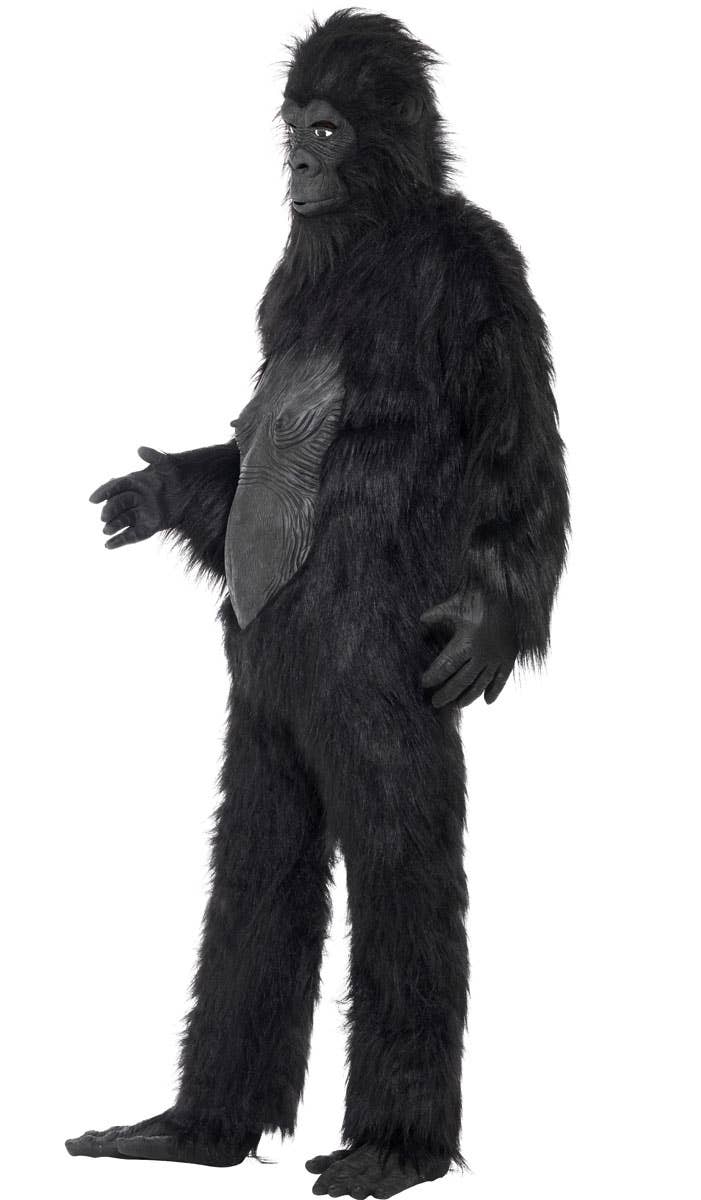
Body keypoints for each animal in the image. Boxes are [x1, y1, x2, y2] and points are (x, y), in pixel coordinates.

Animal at [66, 12, 568, 1197]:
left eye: (330, 130)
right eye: (295, 126)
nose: (296, 165)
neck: (376, 235)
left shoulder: (485, 276)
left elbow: (520, 462)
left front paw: (484, 629)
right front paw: (156, 494)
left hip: (367, 703)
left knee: (400, 861)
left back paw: (392, 1150)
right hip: (267, 721)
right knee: (257, 856)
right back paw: (195, 1131)